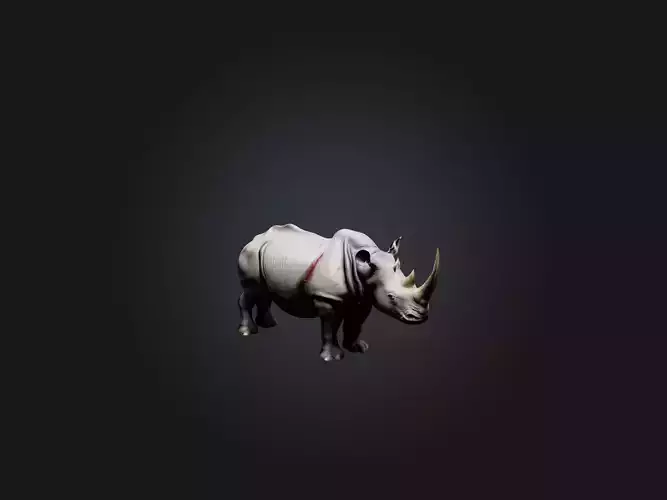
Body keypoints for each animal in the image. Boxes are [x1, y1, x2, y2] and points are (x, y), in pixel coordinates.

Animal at [236, 223, 440, 362]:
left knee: (264, 292)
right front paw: (332, 357)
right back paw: (247, 331)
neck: (364, 269)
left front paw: (357, 347)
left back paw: (269, 324)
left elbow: (356, 323)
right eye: (391, 297)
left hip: (264, 255)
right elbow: (330, 327)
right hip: (251, 254)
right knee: (252, 290)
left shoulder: (363, 297)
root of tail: (255, 238)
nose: (421, 317)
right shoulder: (327, 298)